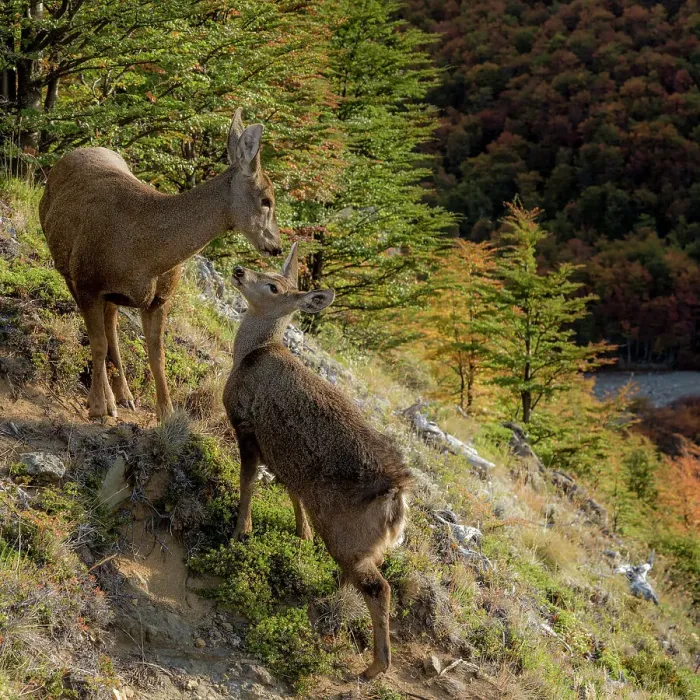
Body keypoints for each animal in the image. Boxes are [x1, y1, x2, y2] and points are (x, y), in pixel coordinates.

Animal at [39, 108, 281, 421]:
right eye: (266, 200)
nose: (276, 245)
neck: (147, 253)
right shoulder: (87, 281)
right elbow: (98, 343)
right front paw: (97, 407)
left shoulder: (160, 298)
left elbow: (157, 354)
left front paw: (167, 413)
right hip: (66, 264)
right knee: (103, 332)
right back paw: (112, 398)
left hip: (111, 293)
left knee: (111, 325)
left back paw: (124, 395)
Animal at [223, 243, 413, 679]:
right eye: (265, 269)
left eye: (274, 286)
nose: (239, 270)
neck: (250, 355)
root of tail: (396, 501)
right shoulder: (288, 460)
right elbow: (292, 493)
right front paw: (301, 534)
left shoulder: (245, 424)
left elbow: (247, 482)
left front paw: (241, 531)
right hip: (362, 543)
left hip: (346, 533)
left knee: (379, 588)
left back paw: (374, 667)